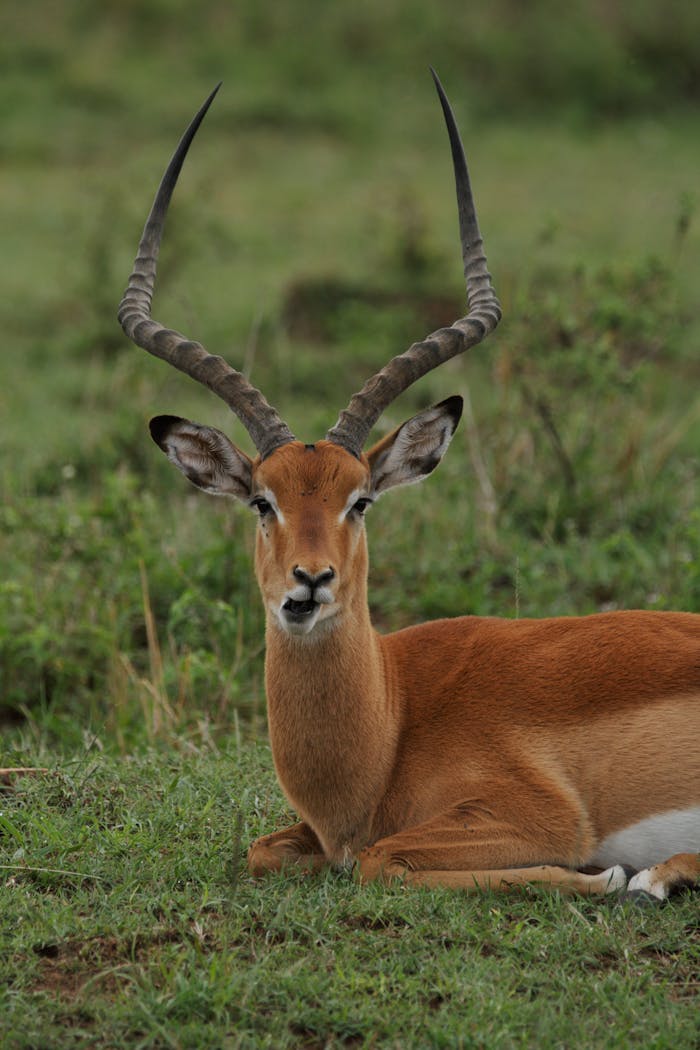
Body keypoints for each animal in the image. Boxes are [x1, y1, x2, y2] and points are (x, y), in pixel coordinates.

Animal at [119, 75, 700, 900]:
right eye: (263, 502)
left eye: (359, 501)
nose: (310, 582)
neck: (391, 725)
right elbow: (269, 848)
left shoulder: (540, 816)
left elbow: (382, 858)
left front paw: (603, 877)